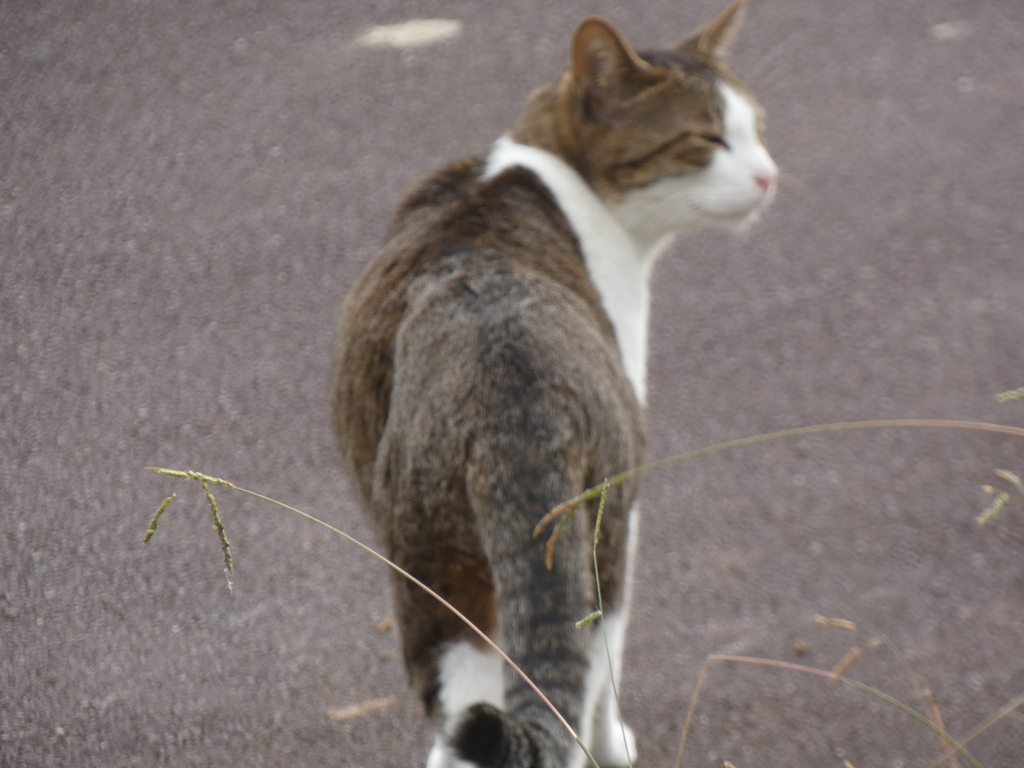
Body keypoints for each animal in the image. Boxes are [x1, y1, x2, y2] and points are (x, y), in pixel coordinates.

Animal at [333, 3, 774, 765]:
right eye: (708, 138)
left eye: (759, 128)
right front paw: (620, 742)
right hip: (598, 534)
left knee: (465, 707)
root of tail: (510, 393)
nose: (769, 176)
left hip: (432, 564)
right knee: (582, 673)